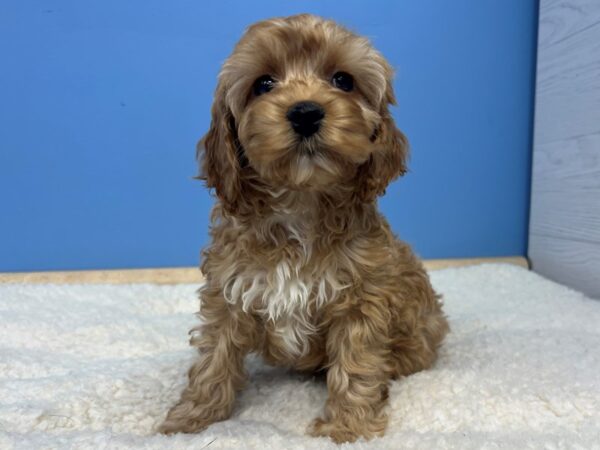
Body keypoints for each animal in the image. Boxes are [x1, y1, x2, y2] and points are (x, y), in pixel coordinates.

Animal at [159, 13, 450, 442]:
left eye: (343, 80)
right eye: (263, 84)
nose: (306, 112)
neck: (300, 204)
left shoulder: (361, 299)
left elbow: (357, 365)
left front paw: (346, 428)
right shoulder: (228, 289)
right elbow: (214, 357)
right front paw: (190, 420)